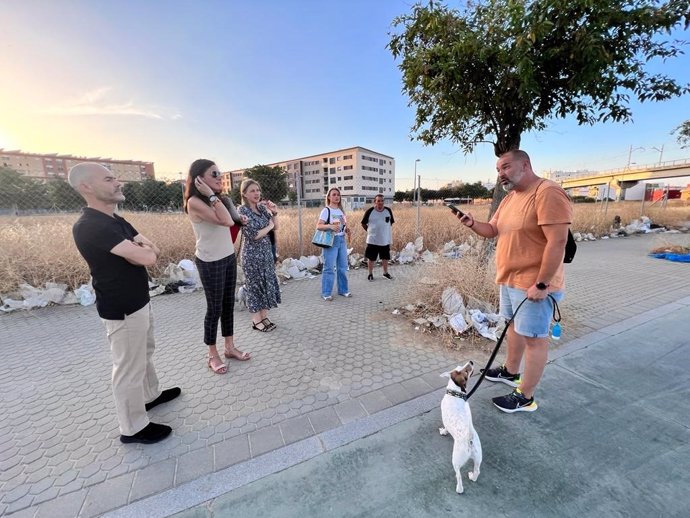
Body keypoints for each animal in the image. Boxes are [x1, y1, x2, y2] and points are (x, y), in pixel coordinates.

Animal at [438, 362, 482, 496]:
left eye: (467, 372)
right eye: (460, 367)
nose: (471, 361)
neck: (455, 393)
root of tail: (470, 439)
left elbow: (445, 428)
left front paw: (443, 432)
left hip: (456, 460)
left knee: (458, 476)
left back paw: (459, 489)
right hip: (478, 458)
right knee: (477, 471)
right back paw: (472, 476)